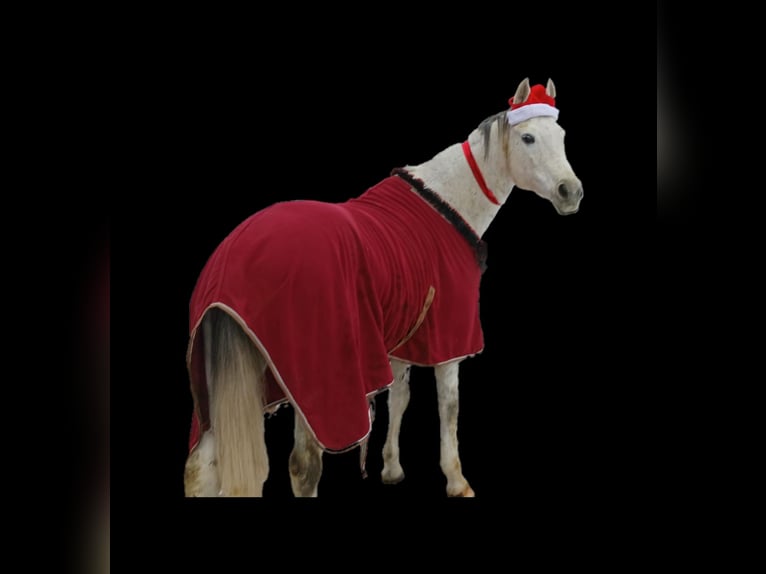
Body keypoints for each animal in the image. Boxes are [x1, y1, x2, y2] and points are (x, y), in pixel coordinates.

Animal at [183, 77, 583, 497]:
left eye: (561, 135)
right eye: (527, 138)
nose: (570, 191)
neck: (444, 205)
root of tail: (235, 257)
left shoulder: (404, 336)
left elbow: (400, 398)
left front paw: (391, 468)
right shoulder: (448, 339)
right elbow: (449, 405)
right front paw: (457, 481)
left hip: (222, 392)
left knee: (200, 469)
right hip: (316, 387)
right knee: (303, 467)